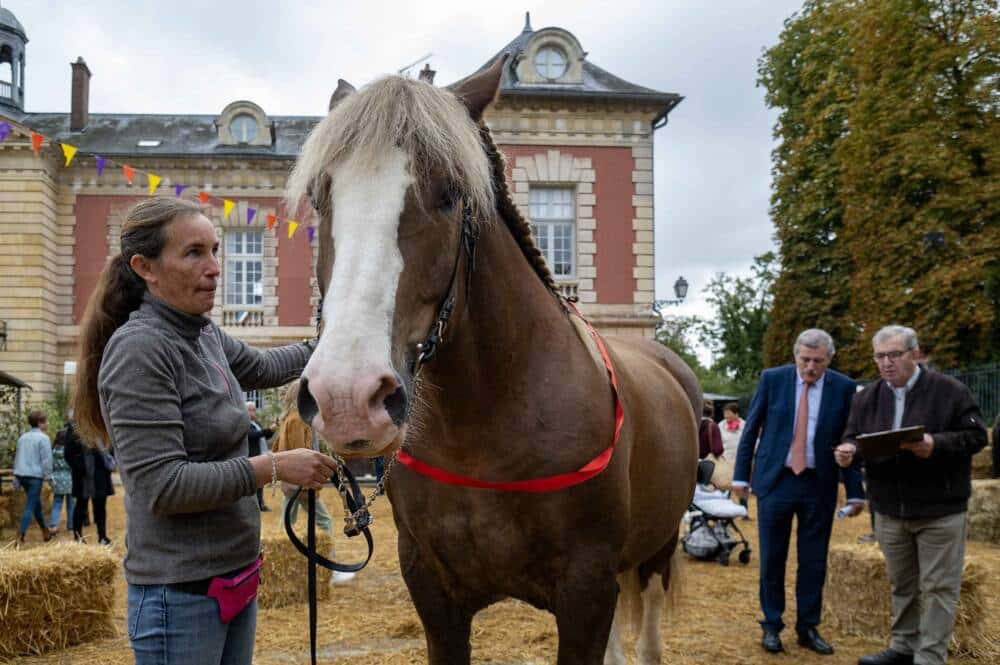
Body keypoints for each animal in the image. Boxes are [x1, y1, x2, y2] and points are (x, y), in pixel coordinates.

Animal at [286, 57, 700, 664]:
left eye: (451, 193)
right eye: (322, 198)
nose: (347, 397)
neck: (485, 428)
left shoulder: (587, 592)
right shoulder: (434, 591)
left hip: (657, 549)